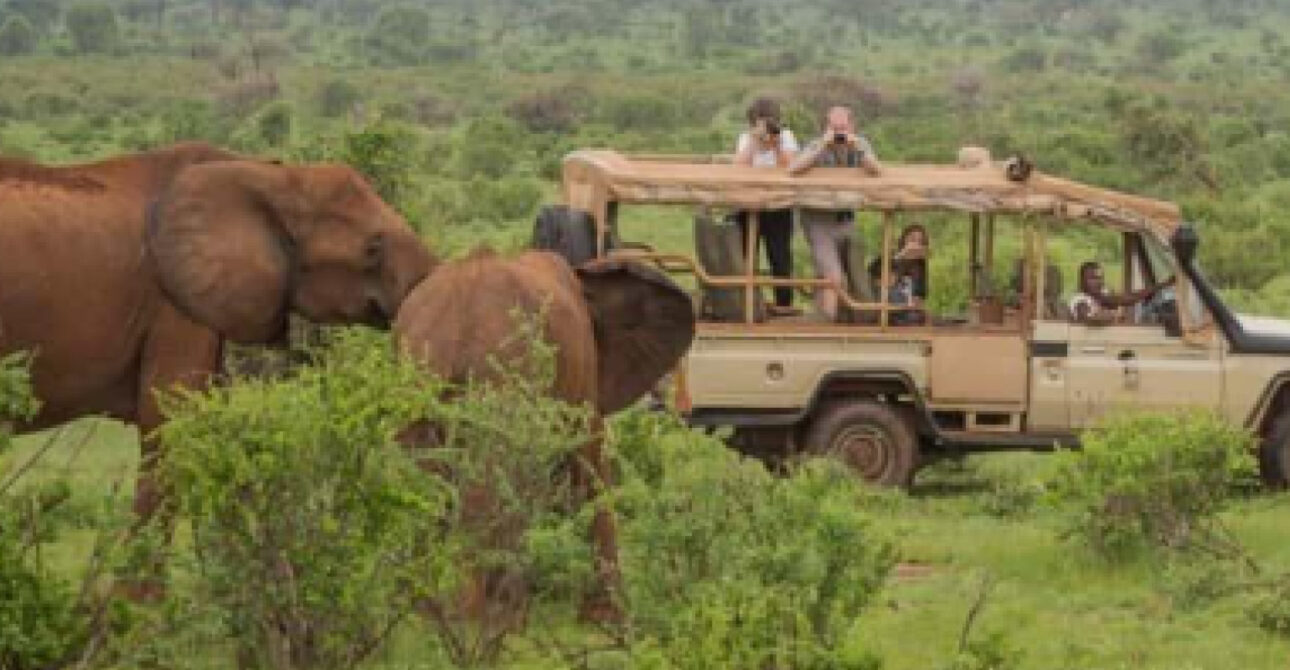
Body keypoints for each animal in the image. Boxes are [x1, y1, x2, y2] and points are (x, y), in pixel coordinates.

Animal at [394, 249, 696, 621]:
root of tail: (457, 322)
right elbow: (589, 468)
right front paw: (609, 619)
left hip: (416, 379)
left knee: (425, 485)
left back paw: (425, 613)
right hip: (502, 379)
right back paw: (486, 617)